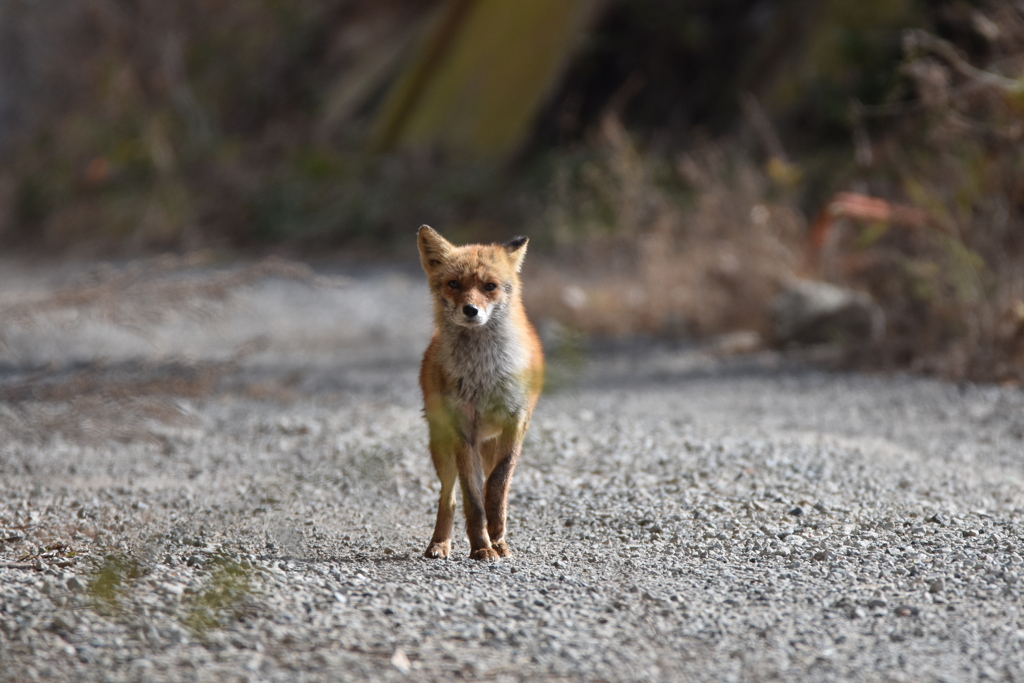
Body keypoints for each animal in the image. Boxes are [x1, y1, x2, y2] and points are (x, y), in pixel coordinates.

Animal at [415, 224, 544, 561]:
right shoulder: (463, 431)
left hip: (488, 444)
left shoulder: (516, 421)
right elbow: (472, 500)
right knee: (449, 497)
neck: (483, 374)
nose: (470, 310)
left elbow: (497, 485)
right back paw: (439, 543)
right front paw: (481, 546)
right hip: (442, 445)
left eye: (490, 286)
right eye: (454, 284)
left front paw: (496, 535)